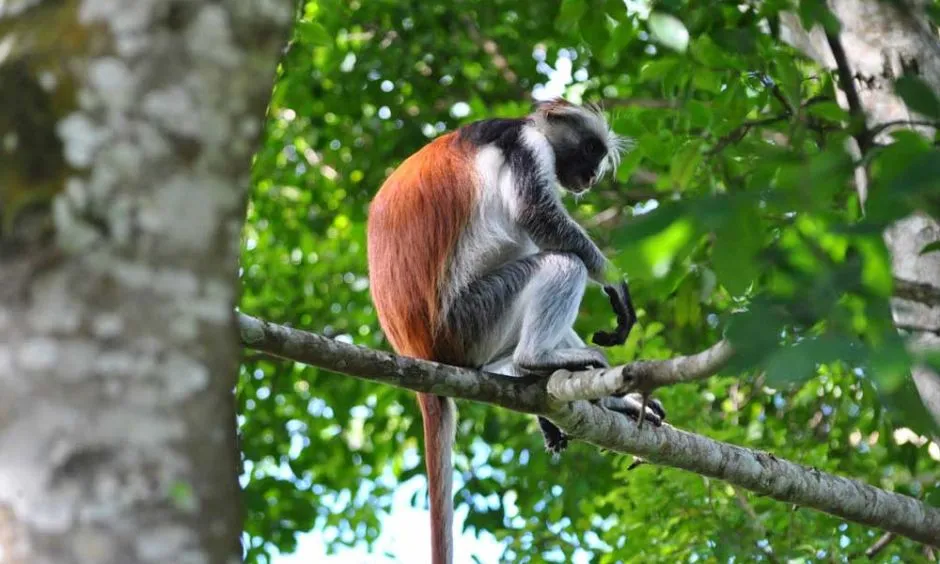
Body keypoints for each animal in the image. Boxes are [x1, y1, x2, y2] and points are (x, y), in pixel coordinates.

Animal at [366, 99, 665, 564]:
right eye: (591, 151)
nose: (591, 177)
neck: (528, 126)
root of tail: (417, 350)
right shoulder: (523, 147)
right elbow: (538, 218)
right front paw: (615, 282)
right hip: (470, 320)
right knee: (561, 260)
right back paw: (536, 360)